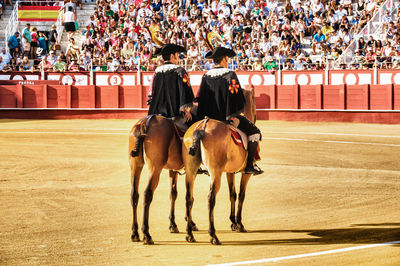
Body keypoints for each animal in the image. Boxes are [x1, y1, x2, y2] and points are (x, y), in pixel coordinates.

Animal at [128, 115, 197, 244]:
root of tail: (145, 122)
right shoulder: (191, 171)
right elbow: (190, 197)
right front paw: (190, 223)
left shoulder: (173, 170)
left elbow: (173, 194)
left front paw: (173, 224)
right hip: (155, 169)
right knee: (147, 194)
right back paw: (146, 234)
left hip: (135, 166)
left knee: (134, 195)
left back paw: (135, 233)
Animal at [183, 85, 258, 245]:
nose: (255, 116)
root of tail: (202, 126)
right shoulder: (245, 173)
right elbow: (241, 195)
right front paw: (239, 224)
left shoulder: (230, 172)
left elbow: (232, 194)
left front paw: (233, 222)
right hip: (215, 172)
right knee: (210, 199)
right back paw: (213, 235)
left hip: (191, 170)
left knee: (188, 197)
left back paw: (189, 233)